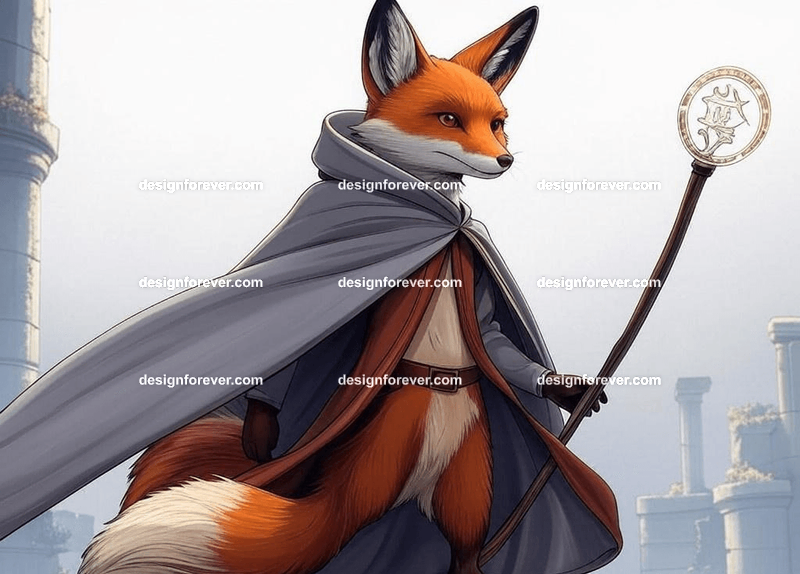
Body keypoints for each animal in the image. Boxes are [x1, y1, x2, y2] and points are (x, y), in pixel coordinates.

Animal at [77, 2, 606, 574]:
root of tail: (415, 483)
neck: (434, 217)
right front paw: (261, 429)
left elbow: (491, 337)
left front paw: (565, 388)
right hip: (372, 480)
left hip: (469, 495)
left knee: (462, 554)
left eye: (498, 124)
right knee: (329, 529)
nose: (504, 161)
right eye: (448, 119)